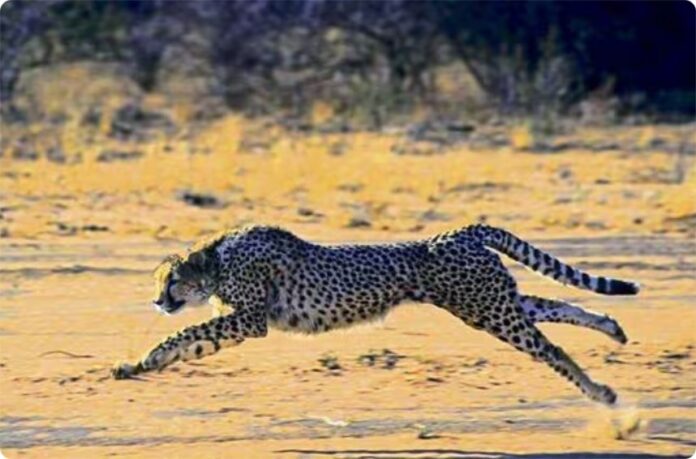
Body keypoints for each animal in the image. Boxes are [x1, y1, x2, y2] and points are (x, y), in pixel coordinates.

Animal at [112, 224, 639, 405]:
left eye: (169, 280)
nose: (157, 301)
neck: (216, 261)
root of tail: (460, 232)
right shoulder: (240, 321)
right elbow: (192, 341)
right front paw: (136, 366)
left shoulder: (251, 319)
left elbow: (187, 332)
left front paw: (146, 356)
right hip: (490, 302)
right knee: (556, 306)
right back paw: (612, 328)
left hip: (489, 308)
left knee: (549, 347)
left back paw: (601, 392)